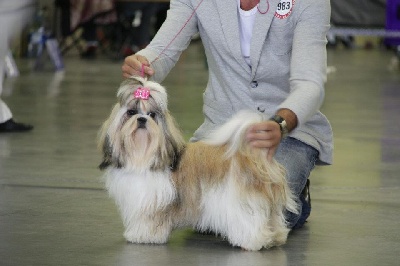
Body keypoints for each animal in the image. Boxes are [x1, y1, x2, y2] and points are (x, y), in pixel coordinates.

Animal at [97, 76, 296, 249]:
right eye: (131, 112)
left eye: (152, 114)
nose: (141, 119)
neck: (143, 156)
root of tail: (251, 157)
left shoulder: (153, 201)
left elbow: (149, 221)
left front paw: (142, 236)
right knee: (273, 220)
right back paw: (276, 237)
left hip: (239, 202)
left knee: (249, 222)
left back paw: (252, 242)